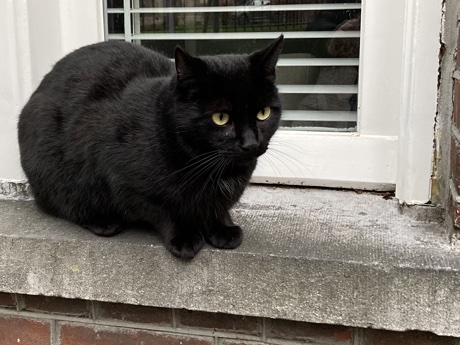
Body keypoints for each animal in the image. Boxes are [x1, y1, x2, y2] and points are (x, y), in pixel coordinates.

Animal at [17, 37, 284, 258]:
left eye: (263, 113)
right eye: (221, 118)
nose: (251, 143)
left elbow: (216, 206)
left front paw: (222, 228)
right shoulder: (123, 182)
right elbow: (164, 209)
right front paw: (185, 235)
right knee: (64, 204)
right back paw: (103, 221)